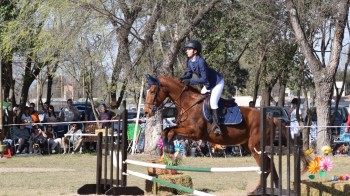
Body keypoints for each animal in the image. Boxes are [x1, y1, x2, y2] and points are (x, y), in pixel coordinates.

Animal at [142, 74, 308, 194]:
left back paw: (256, 190)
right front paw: (167, 152)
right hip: (252, 146)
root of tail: (270, 117)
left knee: (266, 166)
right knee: (270, 165)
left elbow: (170, 131)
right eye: (146, 92)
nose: (146, 112)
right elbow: (166, 130)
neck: (188, 103)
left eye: (152, 91)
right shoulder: (184, 129)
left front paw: (169, 149)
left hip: (255, 147)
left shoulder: (194, 133)